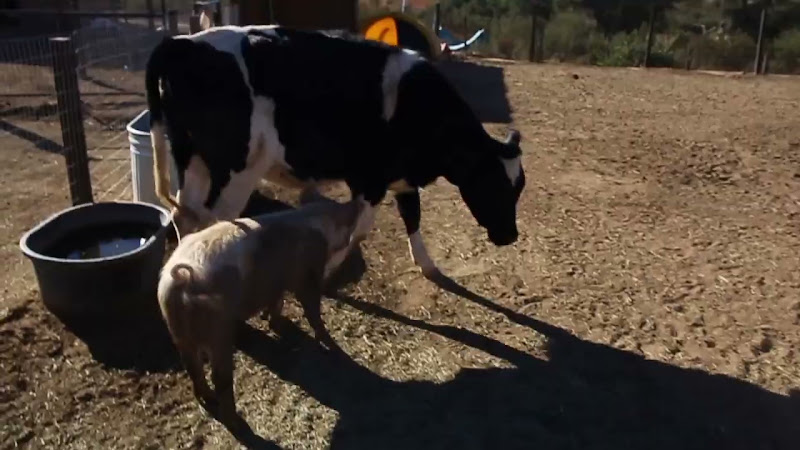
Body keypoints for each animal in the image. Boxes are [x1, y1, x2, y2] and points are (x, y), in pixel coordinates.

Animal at [144, 25, 525, 280]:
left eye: (518, 187)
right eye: (493, 185)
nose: (510, 236)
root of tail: (182, 43)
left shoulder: (399, 177)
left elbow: (412, 216)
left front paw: (427, 264)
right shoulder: (370, 180)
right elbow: (361, 227)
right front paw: (328, 268)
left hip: (191, 158)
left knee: (185, 215)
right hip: (236, 169)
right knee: (212, 220)